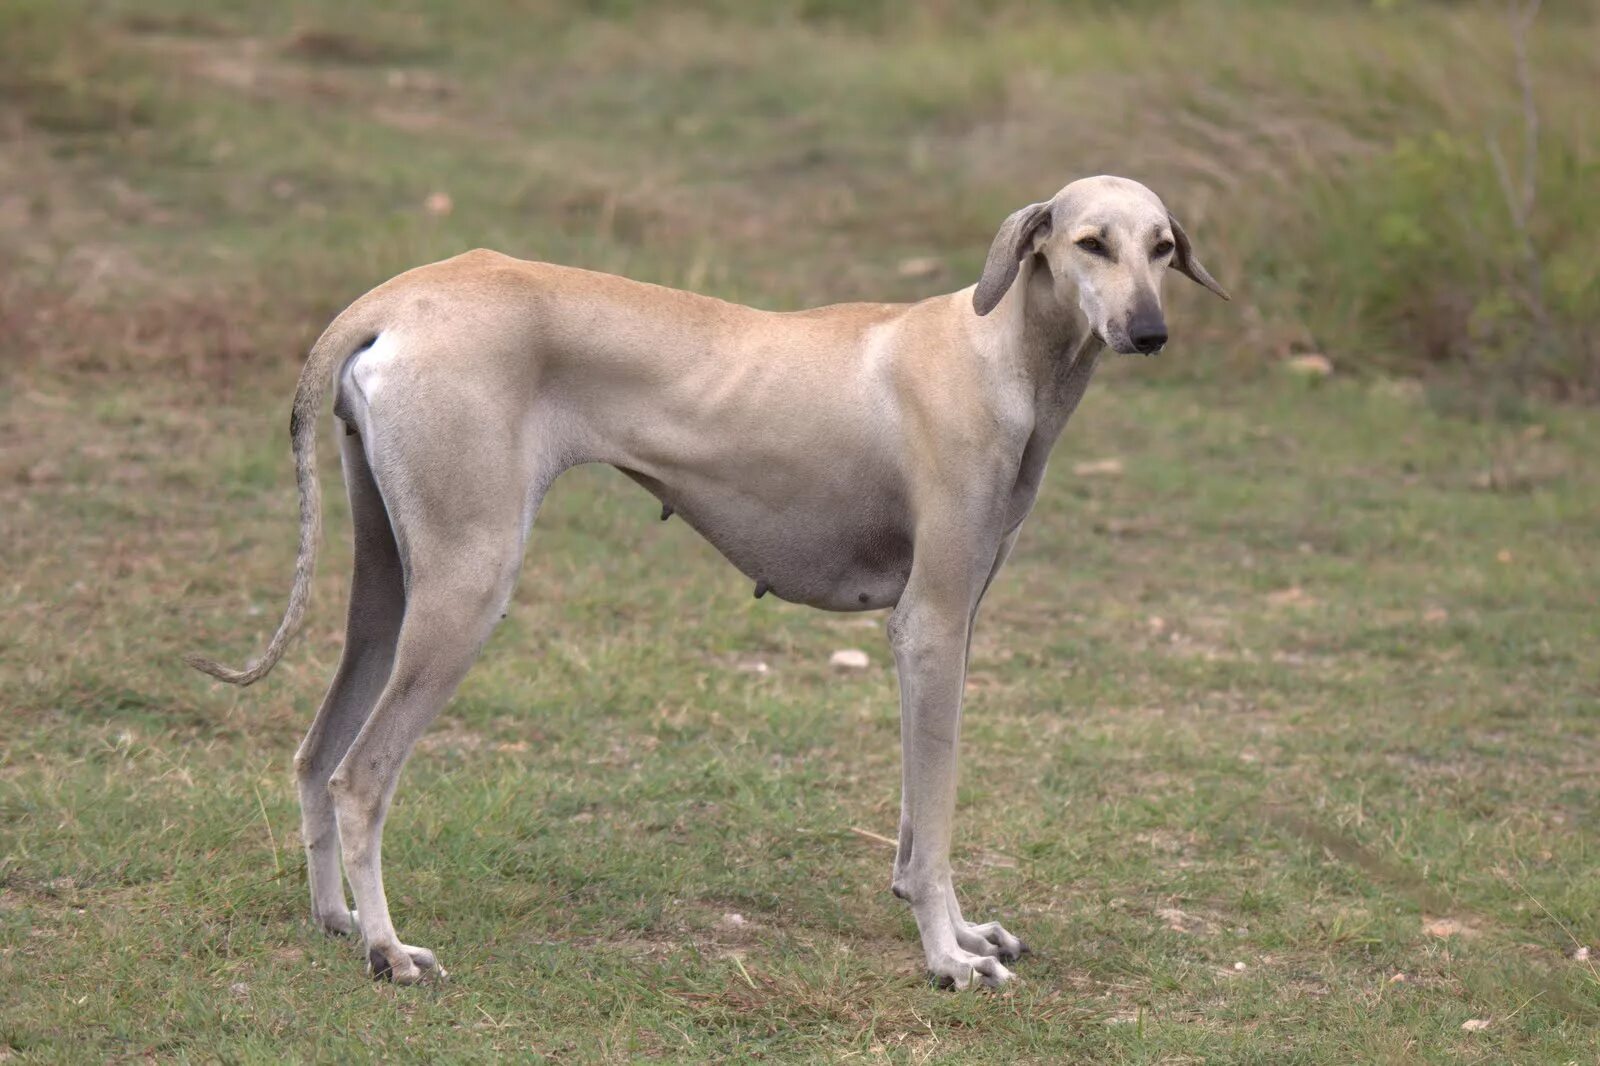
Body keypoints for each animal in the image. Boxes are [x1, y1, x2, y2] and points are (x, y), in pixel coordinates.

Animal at [193, 174, 1228, 985]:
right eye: (1091, 243)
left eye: (1162, 247)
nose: (1149, 331)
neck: (998, 354)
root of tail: (396, 298)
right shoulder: (929, 627)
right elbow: (931, 825)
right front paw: (946, 956)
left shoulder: (955, 627)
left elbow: (915, 824)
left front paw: (964, 932)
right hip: (465, 590)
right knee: (361, 776)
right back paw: (388, 949)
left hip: (388, 595)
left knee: (315, 756)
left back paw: (337, 923)